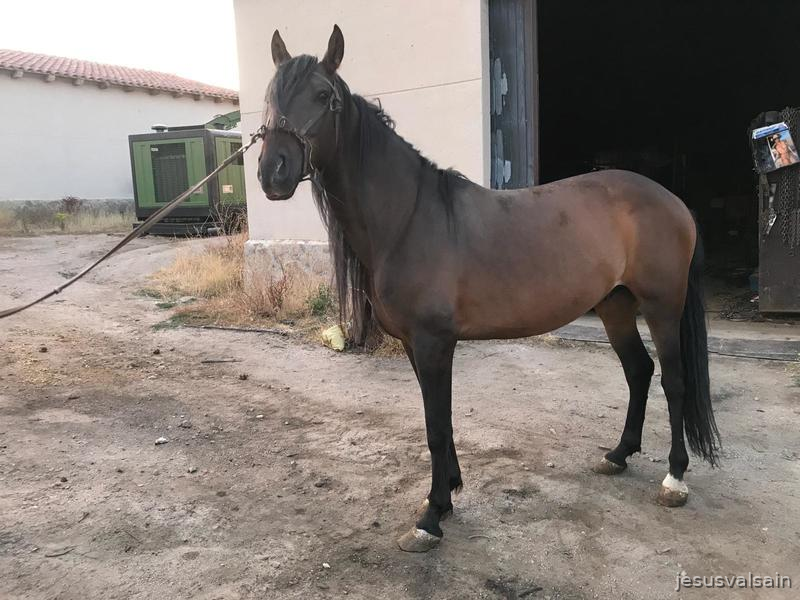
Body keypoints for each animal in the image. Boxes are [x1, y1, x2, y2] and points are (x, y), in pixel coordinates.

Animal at [257, 25, 720, 552]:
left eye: (322, 96)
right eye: (270, 97)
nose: (273, 172)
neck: (408, 217)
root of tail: (673, 201)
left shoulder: (434, 343)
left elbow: (436, 427)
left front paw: (431, 516)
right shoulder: (416, 346)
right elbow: (440, 421)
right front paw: (448, 493)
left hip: (662, 306)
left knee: (674, 380)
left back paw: (675, 479)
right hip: (615, 306)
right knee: (639, 371)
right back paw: (619, 454)